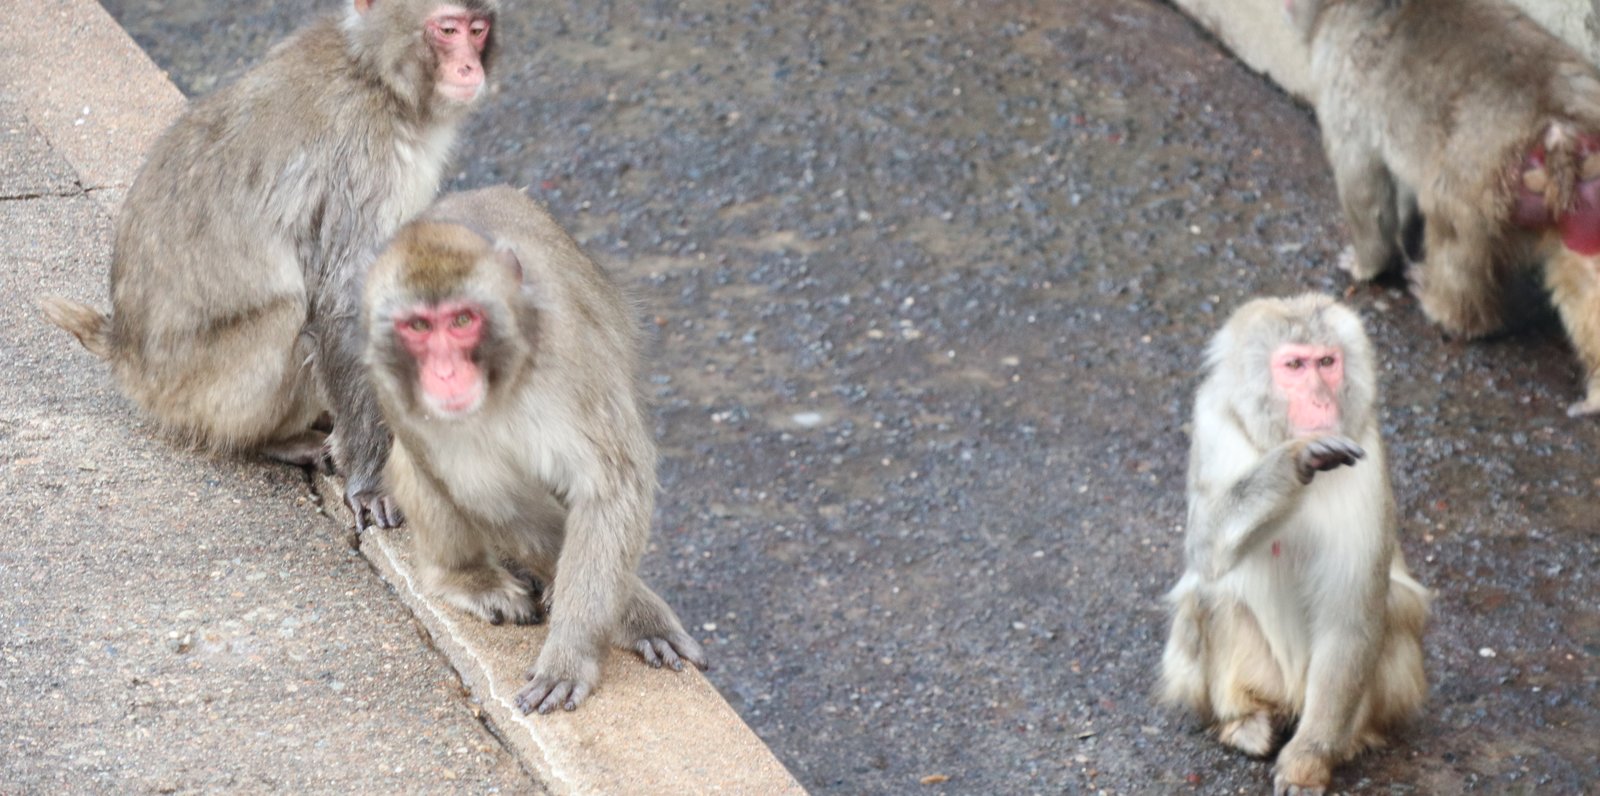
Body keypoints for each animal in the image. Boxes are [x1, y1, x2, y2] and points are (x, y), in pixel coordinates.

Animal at [39, 0, 499, 527]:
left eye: (477, 30)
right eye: (446, 30)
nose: (470, 68)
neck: (374, 74)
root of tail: (121, 347)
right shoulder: (365, 160)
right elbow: (344, 304)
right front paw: (371, 481)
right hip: (194, 390)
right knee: (287, 316)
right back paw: (274, 441)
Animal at [368, 187, 713, 716]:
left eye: (463, 319)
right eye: (418, 326)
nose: (445, 374)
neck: (500, 381)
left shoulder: (569, 355)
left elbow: (611, 487)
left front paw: (587, 647)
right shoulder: (391, 380)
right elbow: (490, 497)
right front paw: (634, 616)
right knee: (419, 467)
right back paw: (466, 577)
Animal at [1158, 294, 1433, 796]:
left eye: (1327, 362)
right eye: (1294, 365)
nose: (1320, 399)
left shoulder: (1366, 455)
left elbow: (1352, 615)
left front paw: (1309, 761)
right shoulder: (1212, 423)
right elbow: (1206, 549)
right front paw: (1292, 462)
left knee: (1393, 607)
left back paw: (1349, 740)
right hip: (1255, 676)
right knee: (1211, 592)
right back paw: (1244, 719)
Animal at [1286, 0, 1600, 418]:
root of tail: (1558, 127)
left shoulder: (1341, 74)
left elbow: (1363, 183)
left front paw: (1364, 266)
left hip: (1482, 176)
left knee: (1450, 221)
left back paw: (1446, 308)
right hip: (1583, 201)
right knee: (1584, 280)